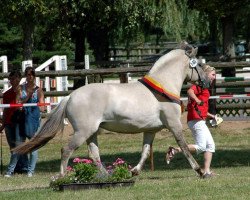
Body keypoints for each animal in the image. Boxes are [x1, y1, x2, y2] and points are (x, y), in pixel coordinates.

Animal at [13, 42, 209, 177]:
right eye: (198, 64)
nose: (207, 82)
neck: (162, 87)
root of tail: (70, 97)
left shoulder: (150, 130)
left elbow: (145, 151)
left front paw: (134, 171)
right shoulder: (174, 124)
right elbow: (184, 146)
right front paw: (200, 171)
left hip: (92, 133)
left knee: (94, 155)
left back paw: (107, 176)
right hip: (83, 132)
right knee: (66, 150)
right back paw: (62, 177)